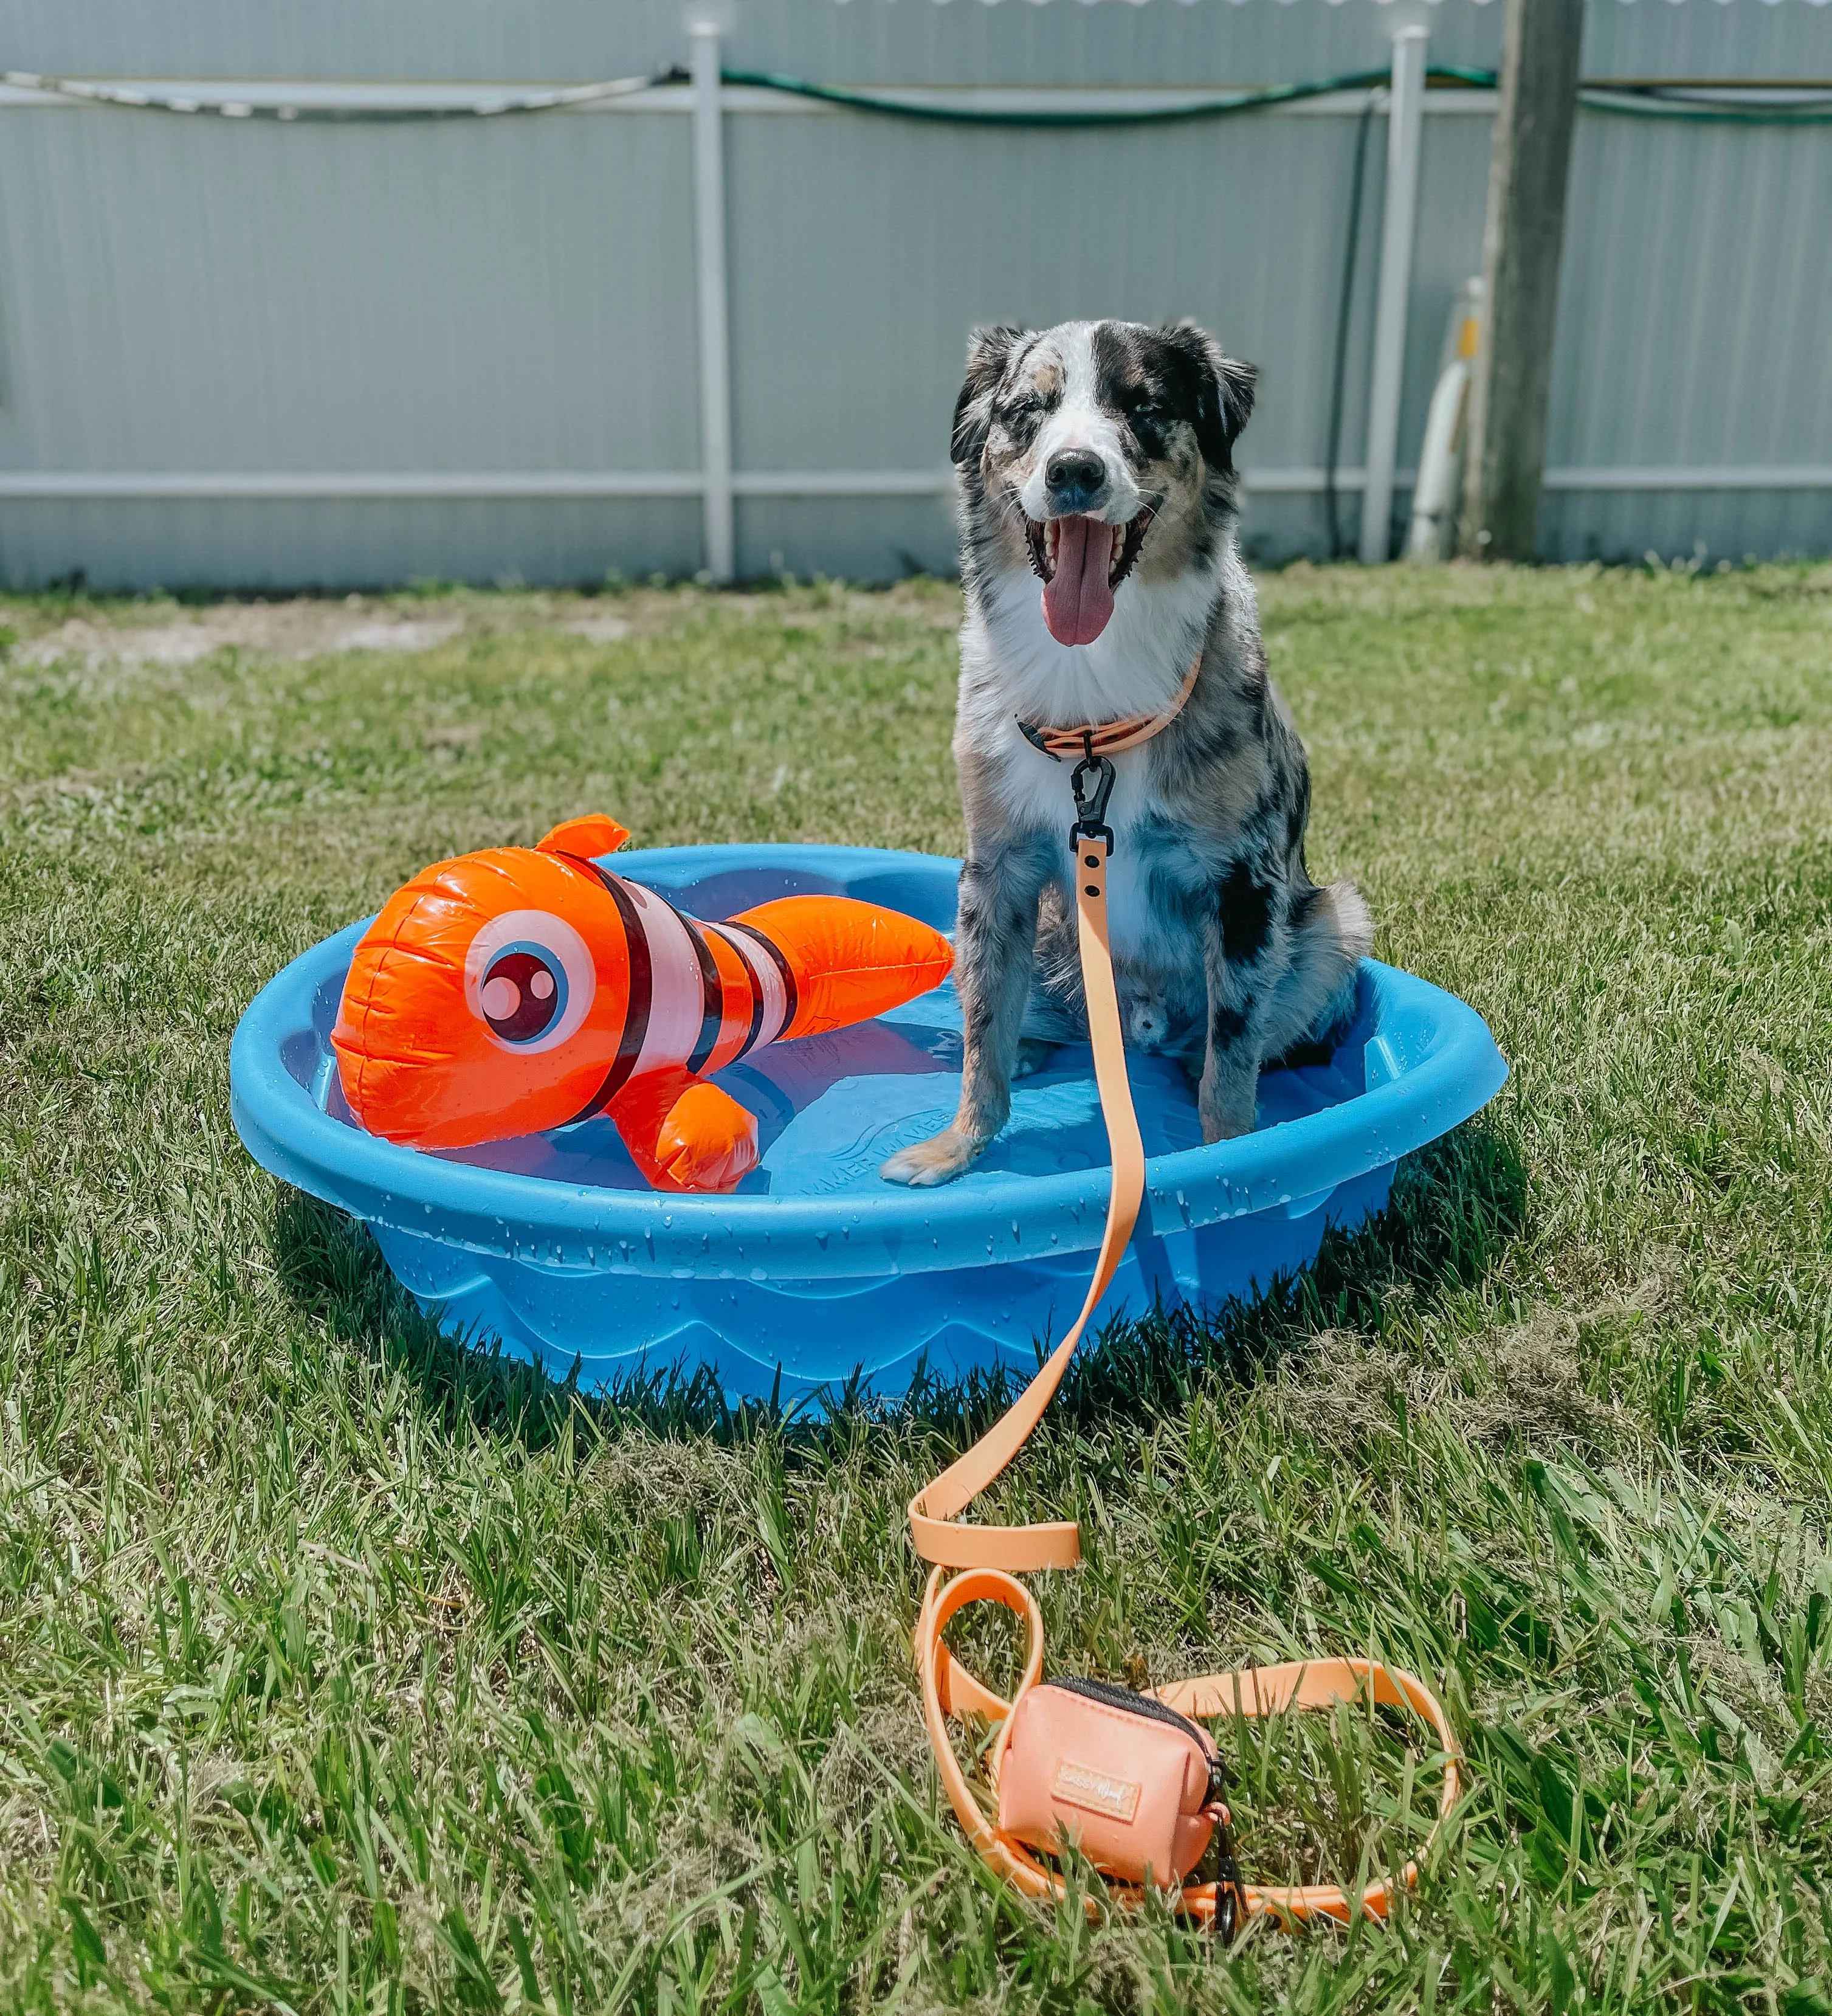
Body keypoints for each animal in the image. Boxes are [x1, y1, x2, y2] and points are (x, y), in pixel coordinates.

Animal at [878, 320, 1362, 1185]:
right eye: (1028, 410)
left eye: (1144, 406)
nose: (1074, 469)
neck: (1089, 700)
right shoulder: (995, 867)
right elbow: (982, 1031)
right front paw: (956, 1144)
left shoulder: (1244, 887)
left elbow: (1230, 1065)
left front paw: (1231, 1167)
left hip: (1337, 925)